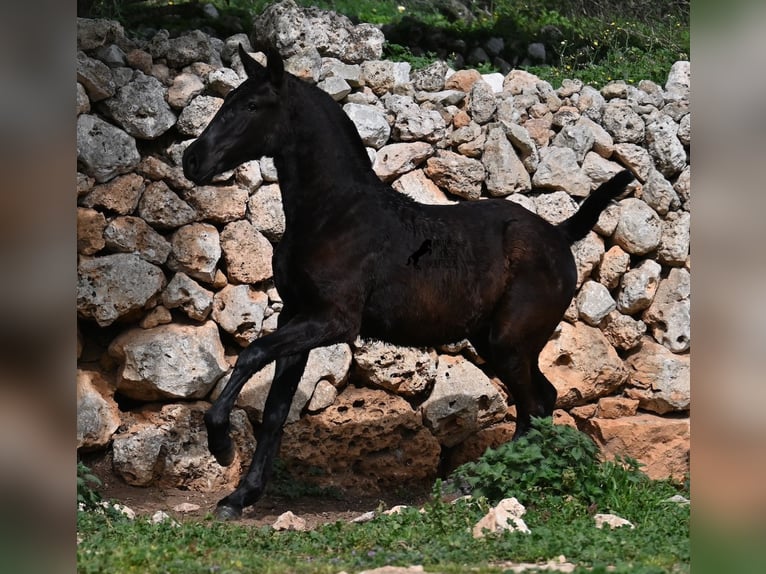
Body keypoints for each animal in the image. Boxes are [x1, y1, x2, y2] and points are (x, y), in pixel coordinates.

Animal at [182, 46, 636, 520]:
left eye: (252, 106)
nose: (192, 160)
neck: (335, 215)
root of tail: (560, 235)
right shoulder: (296, 314)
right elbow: (275, 409)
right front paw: (240, 496)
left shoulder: (333, 321)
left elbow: (251, 354)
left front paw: (220, 445)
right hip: (496, 342)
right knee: (543, 398)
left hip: (510, 343)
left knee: (534, 404)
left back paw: (490, 482)